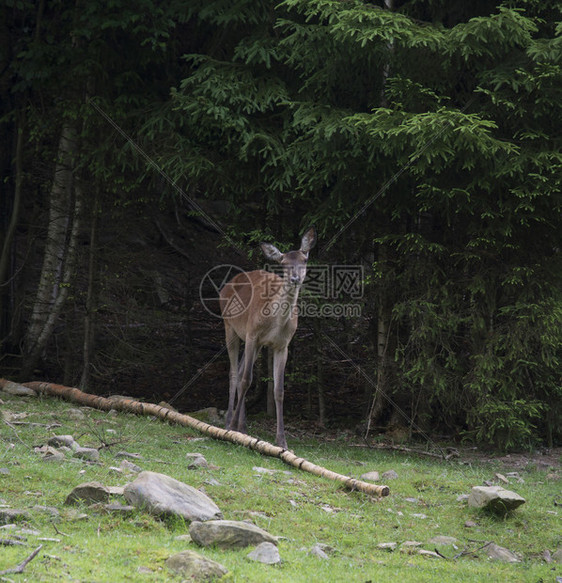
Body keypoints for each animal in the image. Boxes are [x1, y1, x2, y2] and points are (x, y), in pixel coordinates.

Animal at [219, 226, 316, 450]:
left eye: (304, 259)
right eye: (283, 263)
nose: (295, 278)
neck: (275, 322)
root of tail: (225, 286)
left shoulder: (282, 345)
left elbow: (279, 390)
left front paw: (282, 441)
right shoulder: (252, 334)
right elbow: (246, 380)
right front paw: (232, 427)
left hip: (255, 344)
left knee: (241, 369)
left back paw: (243, 426)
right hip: (230, 327)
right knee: (234, 373)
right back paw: (229, 423)